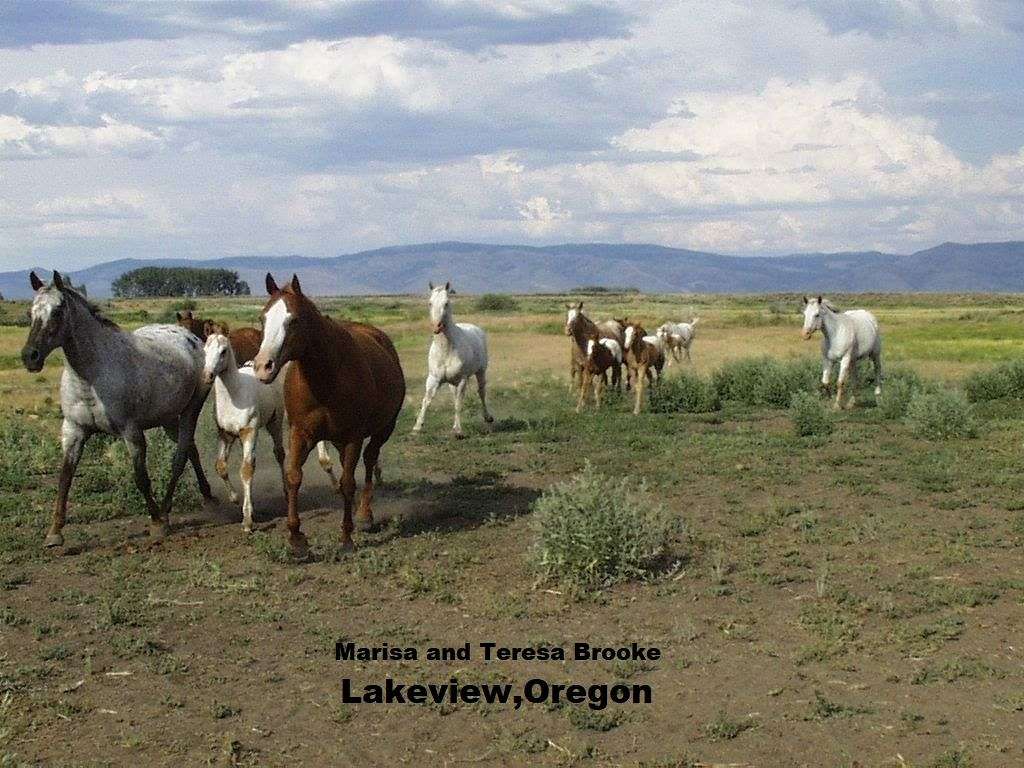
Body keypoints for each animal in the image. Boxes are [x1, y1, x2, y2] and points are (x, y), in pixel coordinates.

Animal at [21, 271, 214, 547]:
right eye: (30, 312)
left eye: (57, 311)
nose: (30, 357)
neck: (91, 376)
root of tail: (193, 338)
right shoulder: (73, 430)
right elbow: (65, 478)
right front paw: (54, 533)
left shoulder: (131, 432)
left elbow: (140, 478)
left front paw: (156, 524)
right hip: (168, 418)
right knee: (191, 450)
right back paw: (205, 495)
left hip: (190, 410)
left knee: (180, 456)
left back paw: (167, 512)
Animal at [203, 333, 287, 533]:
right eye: (204, 349)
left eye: (223, 351)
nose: (207, 375)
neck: (234, 397)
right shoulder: (225, 434)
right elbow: (221, 466)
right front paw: (234, 498)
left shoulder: (249, 432)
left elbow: (247, 469)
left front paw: (248, 520)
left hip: (275, 423)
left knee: (279, 453)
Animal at [252, 274, 405, 557]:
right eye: (263, 319)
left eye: (293, 320)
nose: (263, 367)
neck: (325, 378)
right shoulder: (300, 433)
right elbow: (294, 477)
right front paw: (296, 539)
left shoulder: (353, 436)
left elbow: (348, 482)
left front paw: (346, 538)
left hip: (383, 429)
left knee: (369, 460)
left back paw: (364, 514)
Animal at [412, 281, 493, 437]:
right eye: (430, 303)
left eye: (446, 303)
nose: (436, 327)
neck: (446, 350)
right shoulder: (433, 379)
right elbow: (427, 400)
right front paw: (417, 427)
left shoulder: (462, 379)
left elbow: (458, 404)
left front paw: (458, 431)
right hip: (452, 383)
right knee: (455, 395)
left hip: (480, 372)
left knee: (481, 392)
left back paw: (488, 418)